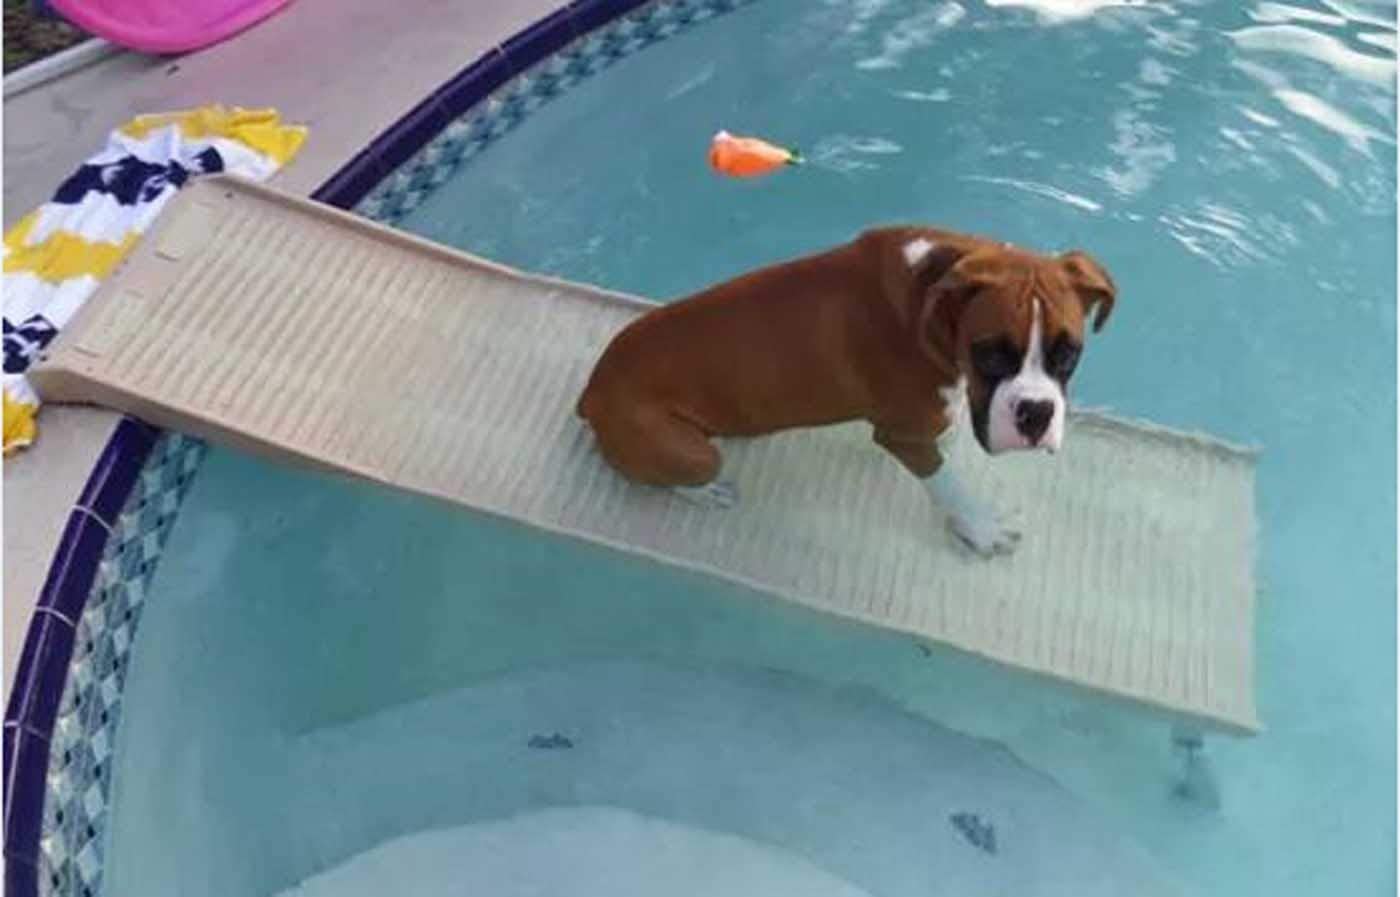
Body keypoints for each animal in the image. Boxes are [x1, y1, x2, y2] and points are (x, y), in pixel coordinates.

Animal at [576, 227, 1117, 557]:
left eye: (1068, 354)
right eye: (989, 354)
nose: (1036, 413)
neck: (933, 303)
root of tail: (593, 391)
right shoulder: (901, 436)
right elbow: (948, 484)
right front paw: (981, 529)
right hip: (690, 453)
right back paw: (705, 492)